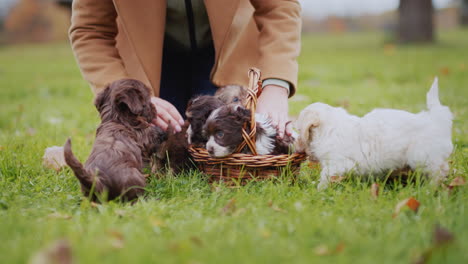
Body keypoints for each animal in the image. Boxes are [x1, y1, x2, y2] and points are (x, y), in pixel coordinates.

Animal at [296, 78, 454, 190]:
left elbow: (326, 176)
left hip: (422, 156)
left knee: (440, 170)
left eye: (299, 130)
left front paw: (319, 190)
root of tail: (436, 119)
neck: (329, 128)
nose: (298, 149)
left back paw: (431, 188)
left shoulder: (336, 163)